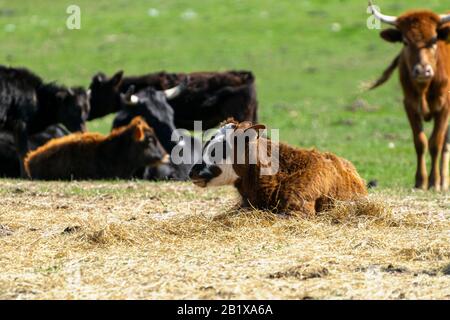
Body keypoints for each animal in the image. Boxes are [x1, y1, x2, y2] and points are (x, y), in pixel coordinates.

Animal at [370, 1, 450, 191]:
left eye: (434, 39)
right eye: (405, 42)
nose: (422, 70)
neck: (424, 89)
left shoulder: (445, 107)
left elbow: (436, 143)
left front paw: (434, 182)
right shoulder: (410, 105)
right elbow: (420, 142)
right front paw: (420, 181)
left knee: (445, 143)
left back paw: (444, 181)